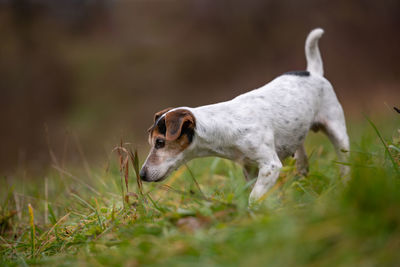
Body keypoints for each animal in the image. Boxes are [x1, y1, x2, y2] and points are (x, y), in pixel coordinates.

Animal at [139, 28, 348, 205]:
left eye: (159, 142)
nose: (141, 174)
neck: (225, 126)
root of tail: (312, 72)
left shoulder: (271, 166)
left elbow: (254, 198)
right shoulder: (250, 168)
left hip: (338, 132)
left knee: (344, 162)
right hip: (298, 143)